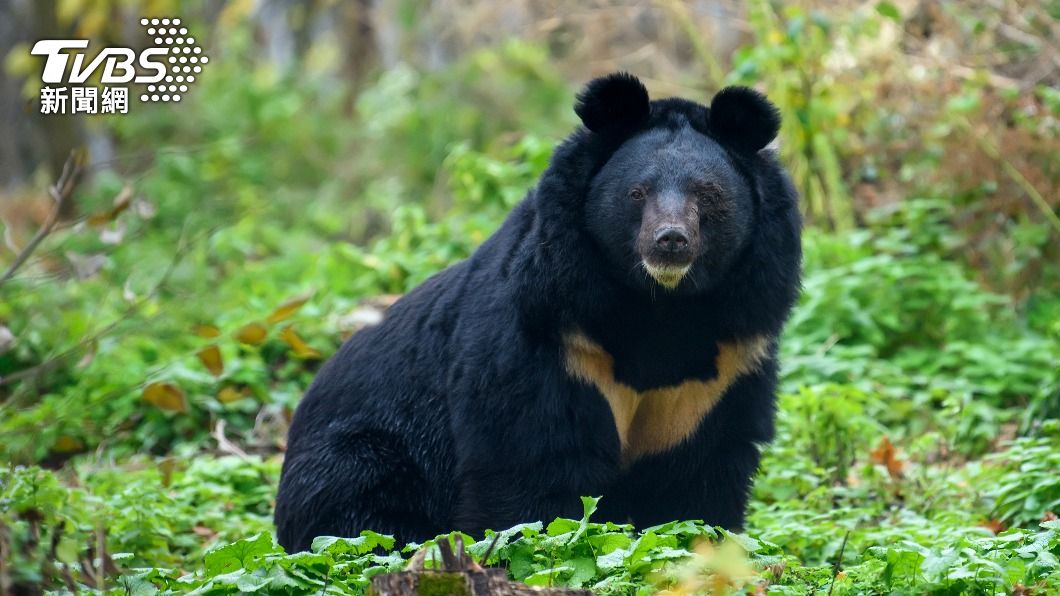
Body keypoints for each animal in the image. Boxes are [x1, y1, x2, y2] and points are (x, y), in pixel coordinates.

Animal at [274, 72, 802, 553]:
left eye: (708, 194)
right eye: (638, 193)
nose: (670, 240)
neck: (661, 306)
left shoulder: (721, 369)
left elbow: (699, 474)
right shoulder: (551, 338)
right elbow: (531, 461)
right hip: (363, 453)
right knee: (358, 515)